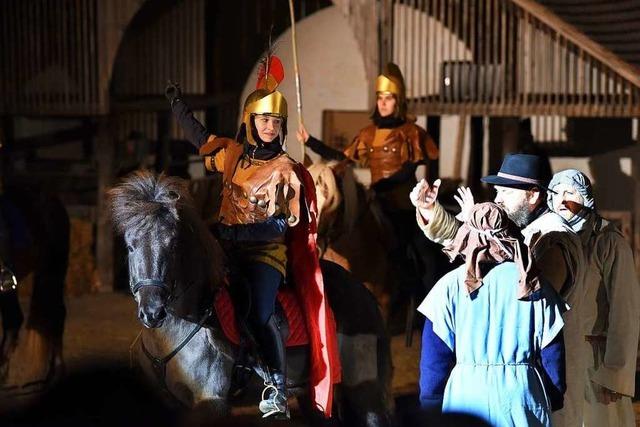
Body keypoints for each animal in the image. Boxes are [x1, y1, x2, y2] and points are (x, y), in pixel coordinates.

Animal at [107, 171, 392, 427]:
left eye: (173, 245)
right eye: (130, 246)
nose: (152, 312)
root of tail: (364, 294)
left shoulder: (210, 404)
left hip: (365, 391)